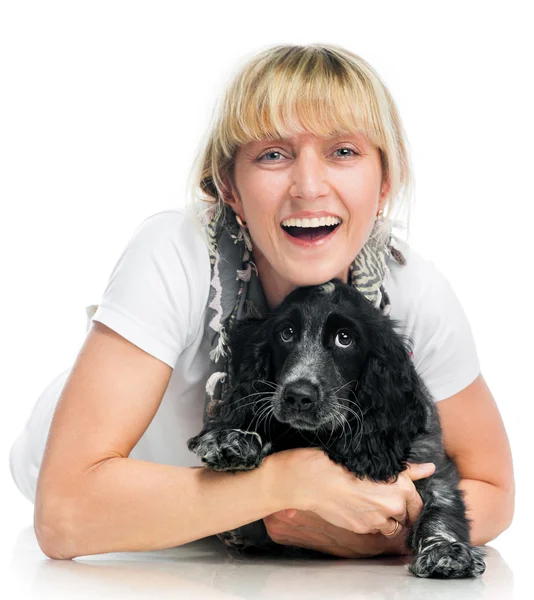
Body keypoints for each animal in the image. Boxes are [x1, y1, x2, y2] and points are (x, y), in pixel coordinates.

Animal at [188, 278, 490, 580]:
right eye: (286, 333)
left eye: (344, 338)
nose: (298, 396)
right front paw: (233, 439)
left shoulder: (430, 462)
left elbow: (442, 504)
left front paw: (445, 551)